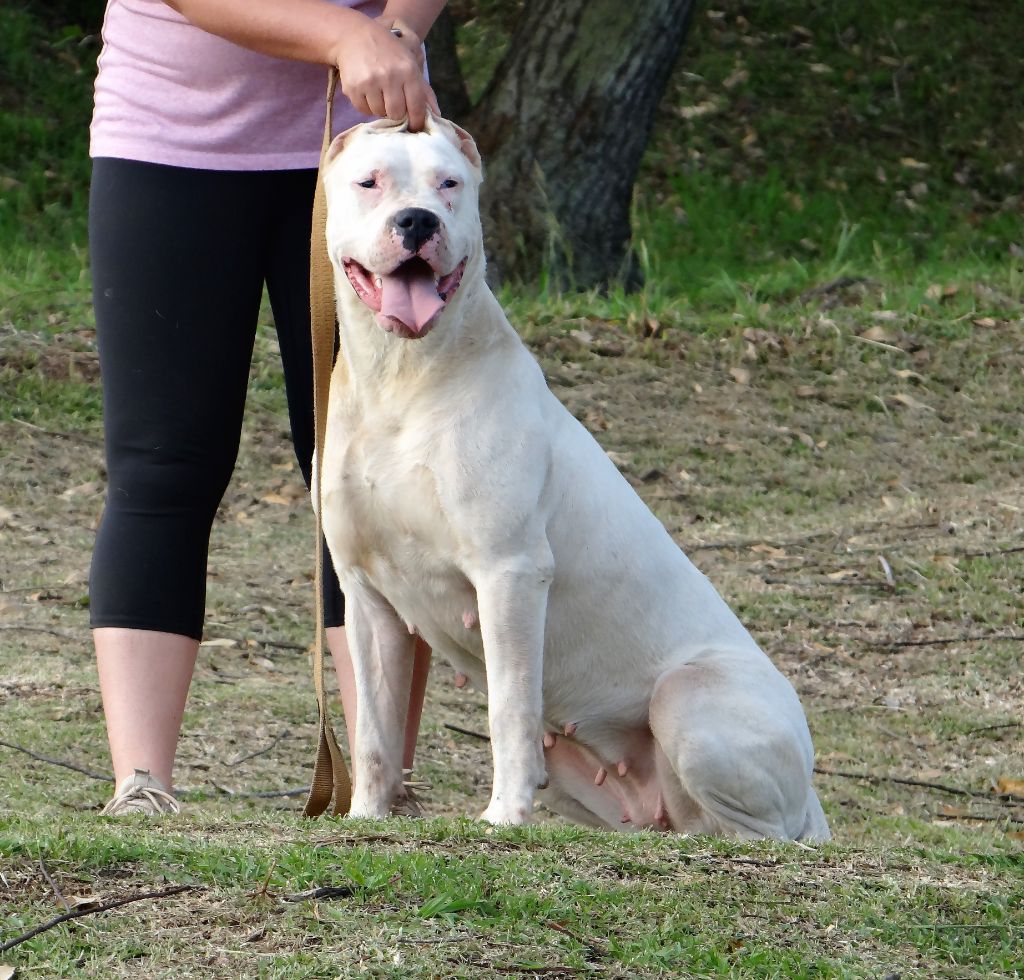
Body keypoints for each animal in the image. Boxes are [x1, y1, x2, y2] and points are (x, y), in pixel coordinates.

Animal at [319, 112, 831, 835]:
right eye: (370, 183)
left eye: (450, 184)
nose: (417, 220)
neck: (403, 377)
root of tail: (811, 799)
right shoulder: (368, 597)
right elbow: (375, 725)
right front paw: (367, 816)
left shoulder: (509, 573)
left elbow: (509, 708)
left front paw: (503, 818)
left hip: (689, 699)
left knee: (761, 833)